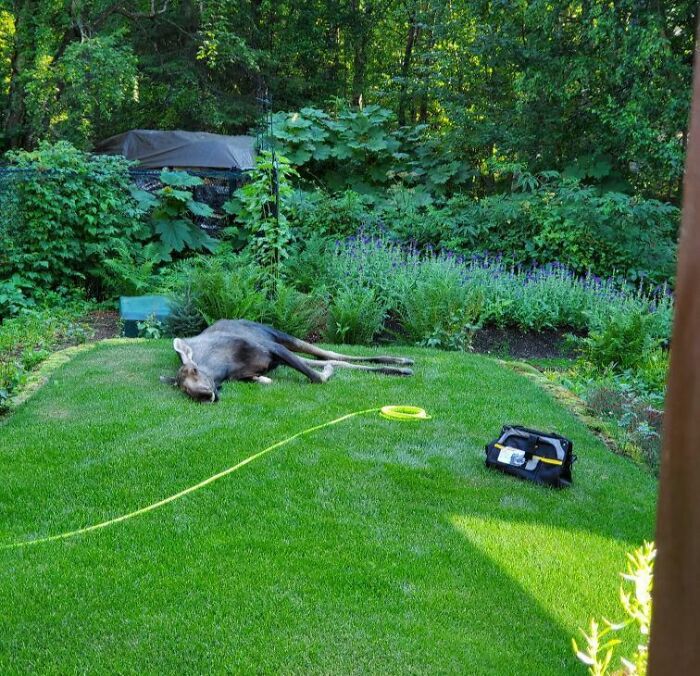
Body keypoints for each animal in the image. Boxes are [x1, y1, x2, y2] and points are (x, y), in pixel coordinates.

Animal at [160, 319, 414, 402]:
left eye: (194, 369)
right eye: (182, 389)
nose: (203, 395)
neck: (225, 368)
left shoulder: (274, 348)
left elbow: (317, 377)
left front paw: (326, 373)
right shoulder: (260, 367)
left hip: (283, 336)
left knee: (332, 354)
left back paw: (402, 362)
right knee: (332, 360)